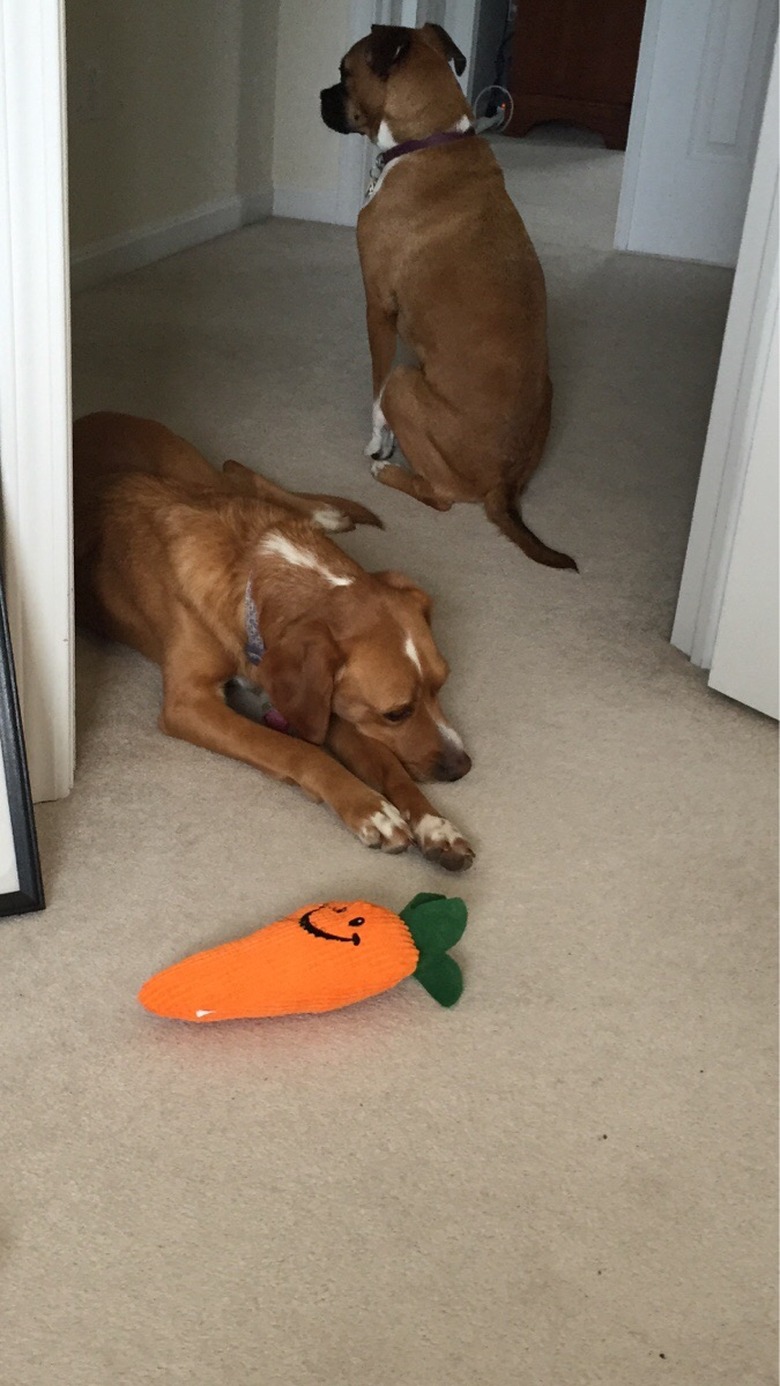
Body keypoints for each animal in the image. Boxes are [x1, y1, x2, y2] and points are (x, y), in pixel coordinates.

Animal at [73, 404, 476, 870]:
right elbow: (296, 749)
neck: (254, 571)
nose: (463, 767)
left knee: (239, 472)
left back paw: (325, 513)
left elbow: (390, 767)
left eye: (441, 686)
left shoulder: (329, 705)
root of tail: (90, 416)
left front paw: (436, 825)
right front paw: (368, 807)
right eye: (396, 713)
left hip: (193, 470)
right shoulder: (189, 703)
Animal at [320, 20, 576, 568]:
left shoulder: (377, 308)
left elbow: (375, 392)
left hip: (406, 384)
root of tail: (502, 486)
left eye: (344, 73)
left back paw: (389, 472)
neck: (426, 140)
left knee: (439, 495)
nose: (322, 95)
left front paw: (378, 444)